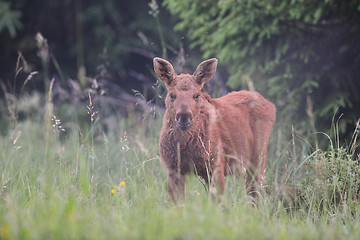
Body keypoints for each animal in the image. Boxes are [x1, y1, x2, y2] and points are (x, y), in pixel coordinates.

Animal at [154, 57, 276, 202]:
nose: (184, 117)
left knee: (256, 193)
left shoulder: (216, 166)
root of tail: (271, 105)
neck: (186, 148)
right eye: (172, 95)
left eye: (197, 95)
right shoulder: (174, 170)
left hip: (258, 157)